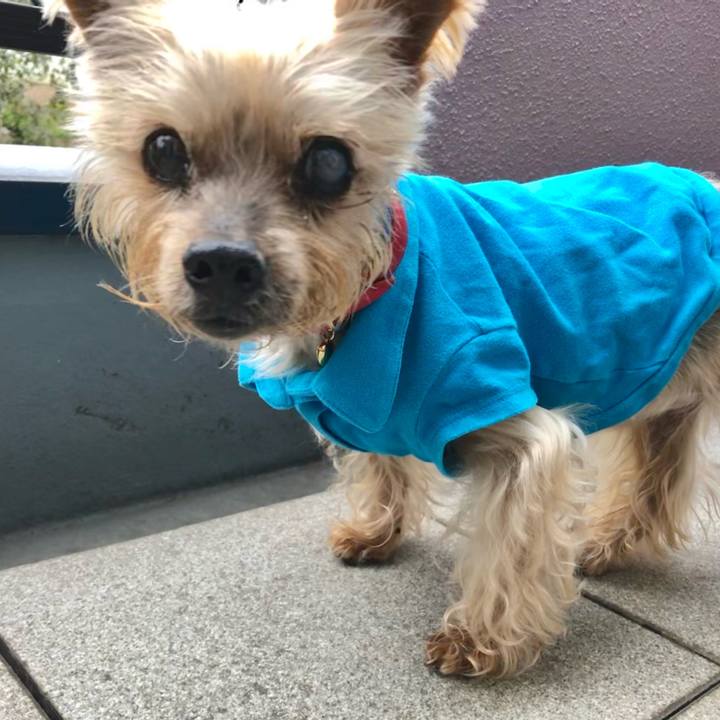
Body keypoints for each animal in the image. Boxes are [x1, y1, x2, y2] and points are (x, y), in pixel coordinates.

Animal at [48, 0, 720, 678]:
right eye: (162, 150)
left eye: (328, 163)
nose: (223, 263)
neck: (365, 292)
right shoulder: (370, 406)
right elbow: (382, 464)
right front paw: (377, 532)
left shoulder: (510, 417)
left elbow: (512, 539)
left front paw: (481, 639)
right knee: (660, 460)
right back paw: (608, 544)